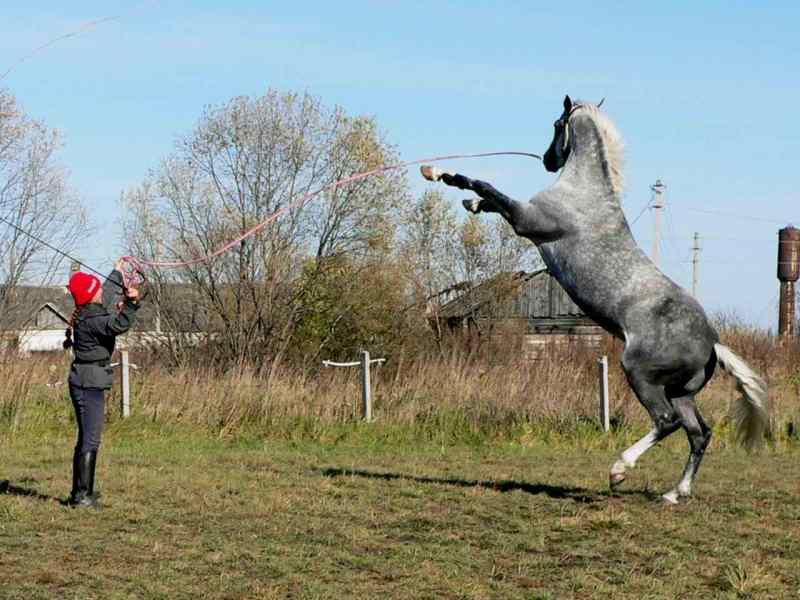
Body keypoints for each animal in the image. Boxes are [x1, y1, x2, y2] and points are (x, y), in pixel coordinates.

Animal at [418, 96, 768, 504]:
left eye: (557, 124)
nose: (547, 160)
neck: (583, 192)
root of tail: (712, 343)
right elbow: (490, 199)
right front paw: (468, 201)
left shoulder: (527, 220)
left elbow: (488, 187)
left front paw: (438, 172)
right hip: (680, 392)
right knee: (698, 432)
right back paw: (674, 493)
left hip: (641, 374)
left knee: (666, 422)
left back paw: (619, 471)